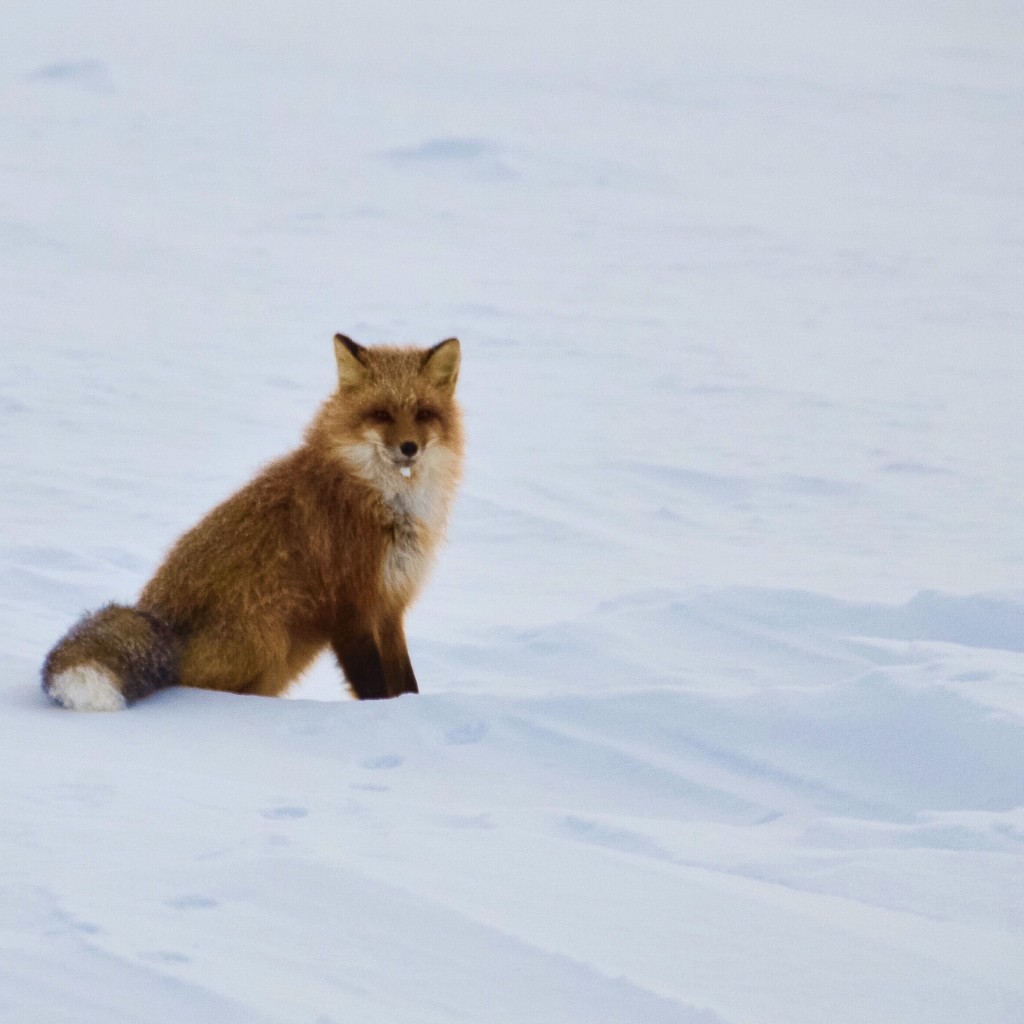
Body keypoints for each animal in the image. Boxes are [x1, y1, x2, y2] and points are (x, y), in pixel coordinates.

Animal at [41, 333, 463, 711]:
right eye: (381, 414)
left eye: (424, 414)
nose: (409, 448)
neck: (384, 498)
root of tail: (157, 619)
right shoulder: (350, 609)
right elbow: (376, 689)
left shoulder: (390, 606)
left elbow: (406, 684)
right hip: (270, 641)